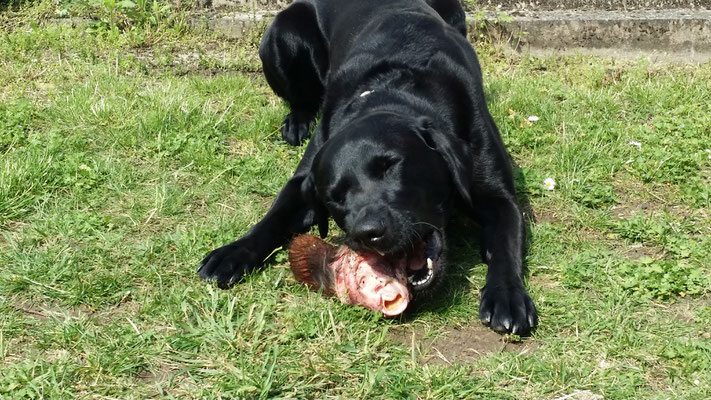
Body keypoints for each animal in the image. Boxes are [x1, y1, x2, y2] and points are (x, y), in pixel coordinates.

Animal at [197, 0, 536, 334]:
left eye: (390, 165)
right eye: (334, 196)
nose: (369, 232)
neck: (392, 89)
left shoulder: (499, 197)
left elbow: (506, 244)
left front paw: (507, 296)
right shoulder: (302, 181)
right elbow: (273, 217)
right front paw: (233, 252)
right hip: (283, 33)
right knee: (300, 100)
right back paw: (297, 121)